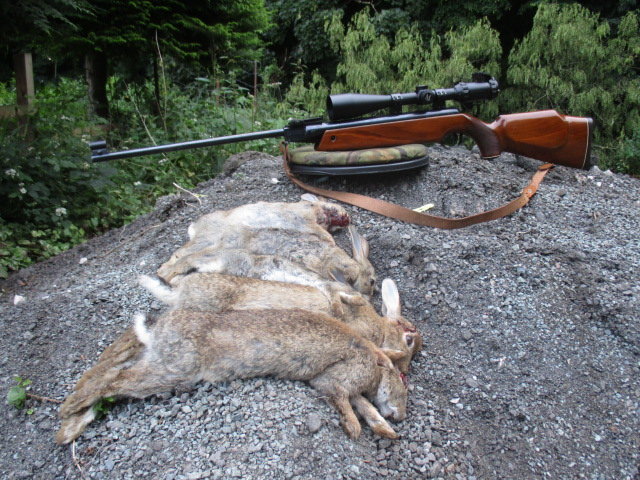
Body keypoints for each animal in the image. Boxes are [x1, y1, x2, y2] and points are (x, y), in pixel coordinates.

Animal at [55, 308, 408, 444]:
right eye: (402, 386)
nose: (402, 416)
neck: (375, 363)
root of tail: (159, 329)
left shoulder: (345, 386)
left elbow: (366, 406)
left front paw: (384, 429)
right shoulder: (336, 381)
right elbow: (347, 400)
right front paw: (354, 430)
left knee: (110, 373)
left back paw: (69, 424)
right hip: (172, 370)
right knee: (114, 381)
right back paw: (70, 411)